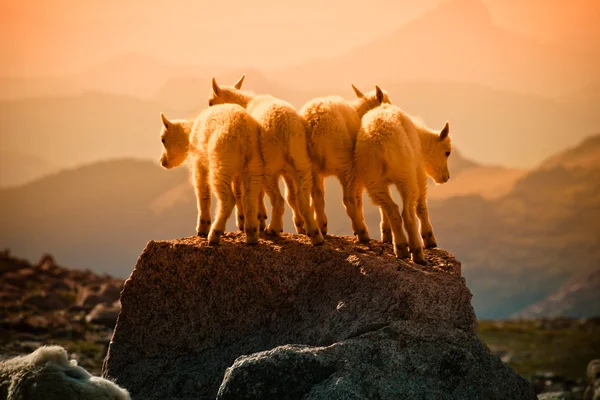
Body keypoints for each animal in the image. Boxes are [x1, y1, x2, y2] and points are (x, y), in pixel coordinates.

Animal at [159, 103, 262, 245]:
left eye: (163, 139)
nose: (162, 162)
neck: (190, 134)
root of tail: (244, 136)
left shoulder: (199, 163)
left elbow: (202, 192)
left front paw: (202, 228)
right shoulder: (237, 173)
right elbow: (239, 193)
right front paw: (241, 221)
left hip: (221, 162)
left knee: (227, 199)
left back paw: (214, 234)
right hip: (253, 164)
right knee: (249, 197)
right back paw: (252, 234)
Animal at [209, 74, 326, 245]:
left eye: (210, 102)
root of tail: (285, 130)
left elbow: (248, 192)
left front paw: (256, 220)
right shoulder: (288, 171)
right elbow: (292, 197)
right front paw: (299, 225)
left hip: (270, 164)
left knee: (278, 199)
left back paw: (273, 228)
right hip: (301, 162)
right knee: (302, 199)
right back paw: (315, 234)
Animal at [298, 85, 392, 242]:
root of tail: (314, 122)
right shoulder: (359, 171)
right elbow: (358, 199)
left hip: (309, 165)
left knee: (316, 196)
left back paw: (320, 228)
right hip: (344, 163)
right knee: (347, 200)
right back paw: (362, 232)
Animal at [354, 104, 452, 266]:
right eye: (447, 152)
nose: (446, 177)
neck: (420, 137)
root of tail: (380, 143)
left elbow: (383, 209)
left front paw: (386, 234)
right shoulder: (418, 169)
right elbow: (421, 205)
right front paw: (429, 238)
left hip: (373, 179)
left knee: (392, 209)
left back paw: (400, 247)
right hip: (406, 174)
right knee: (408, 213)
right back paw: (417, 252)